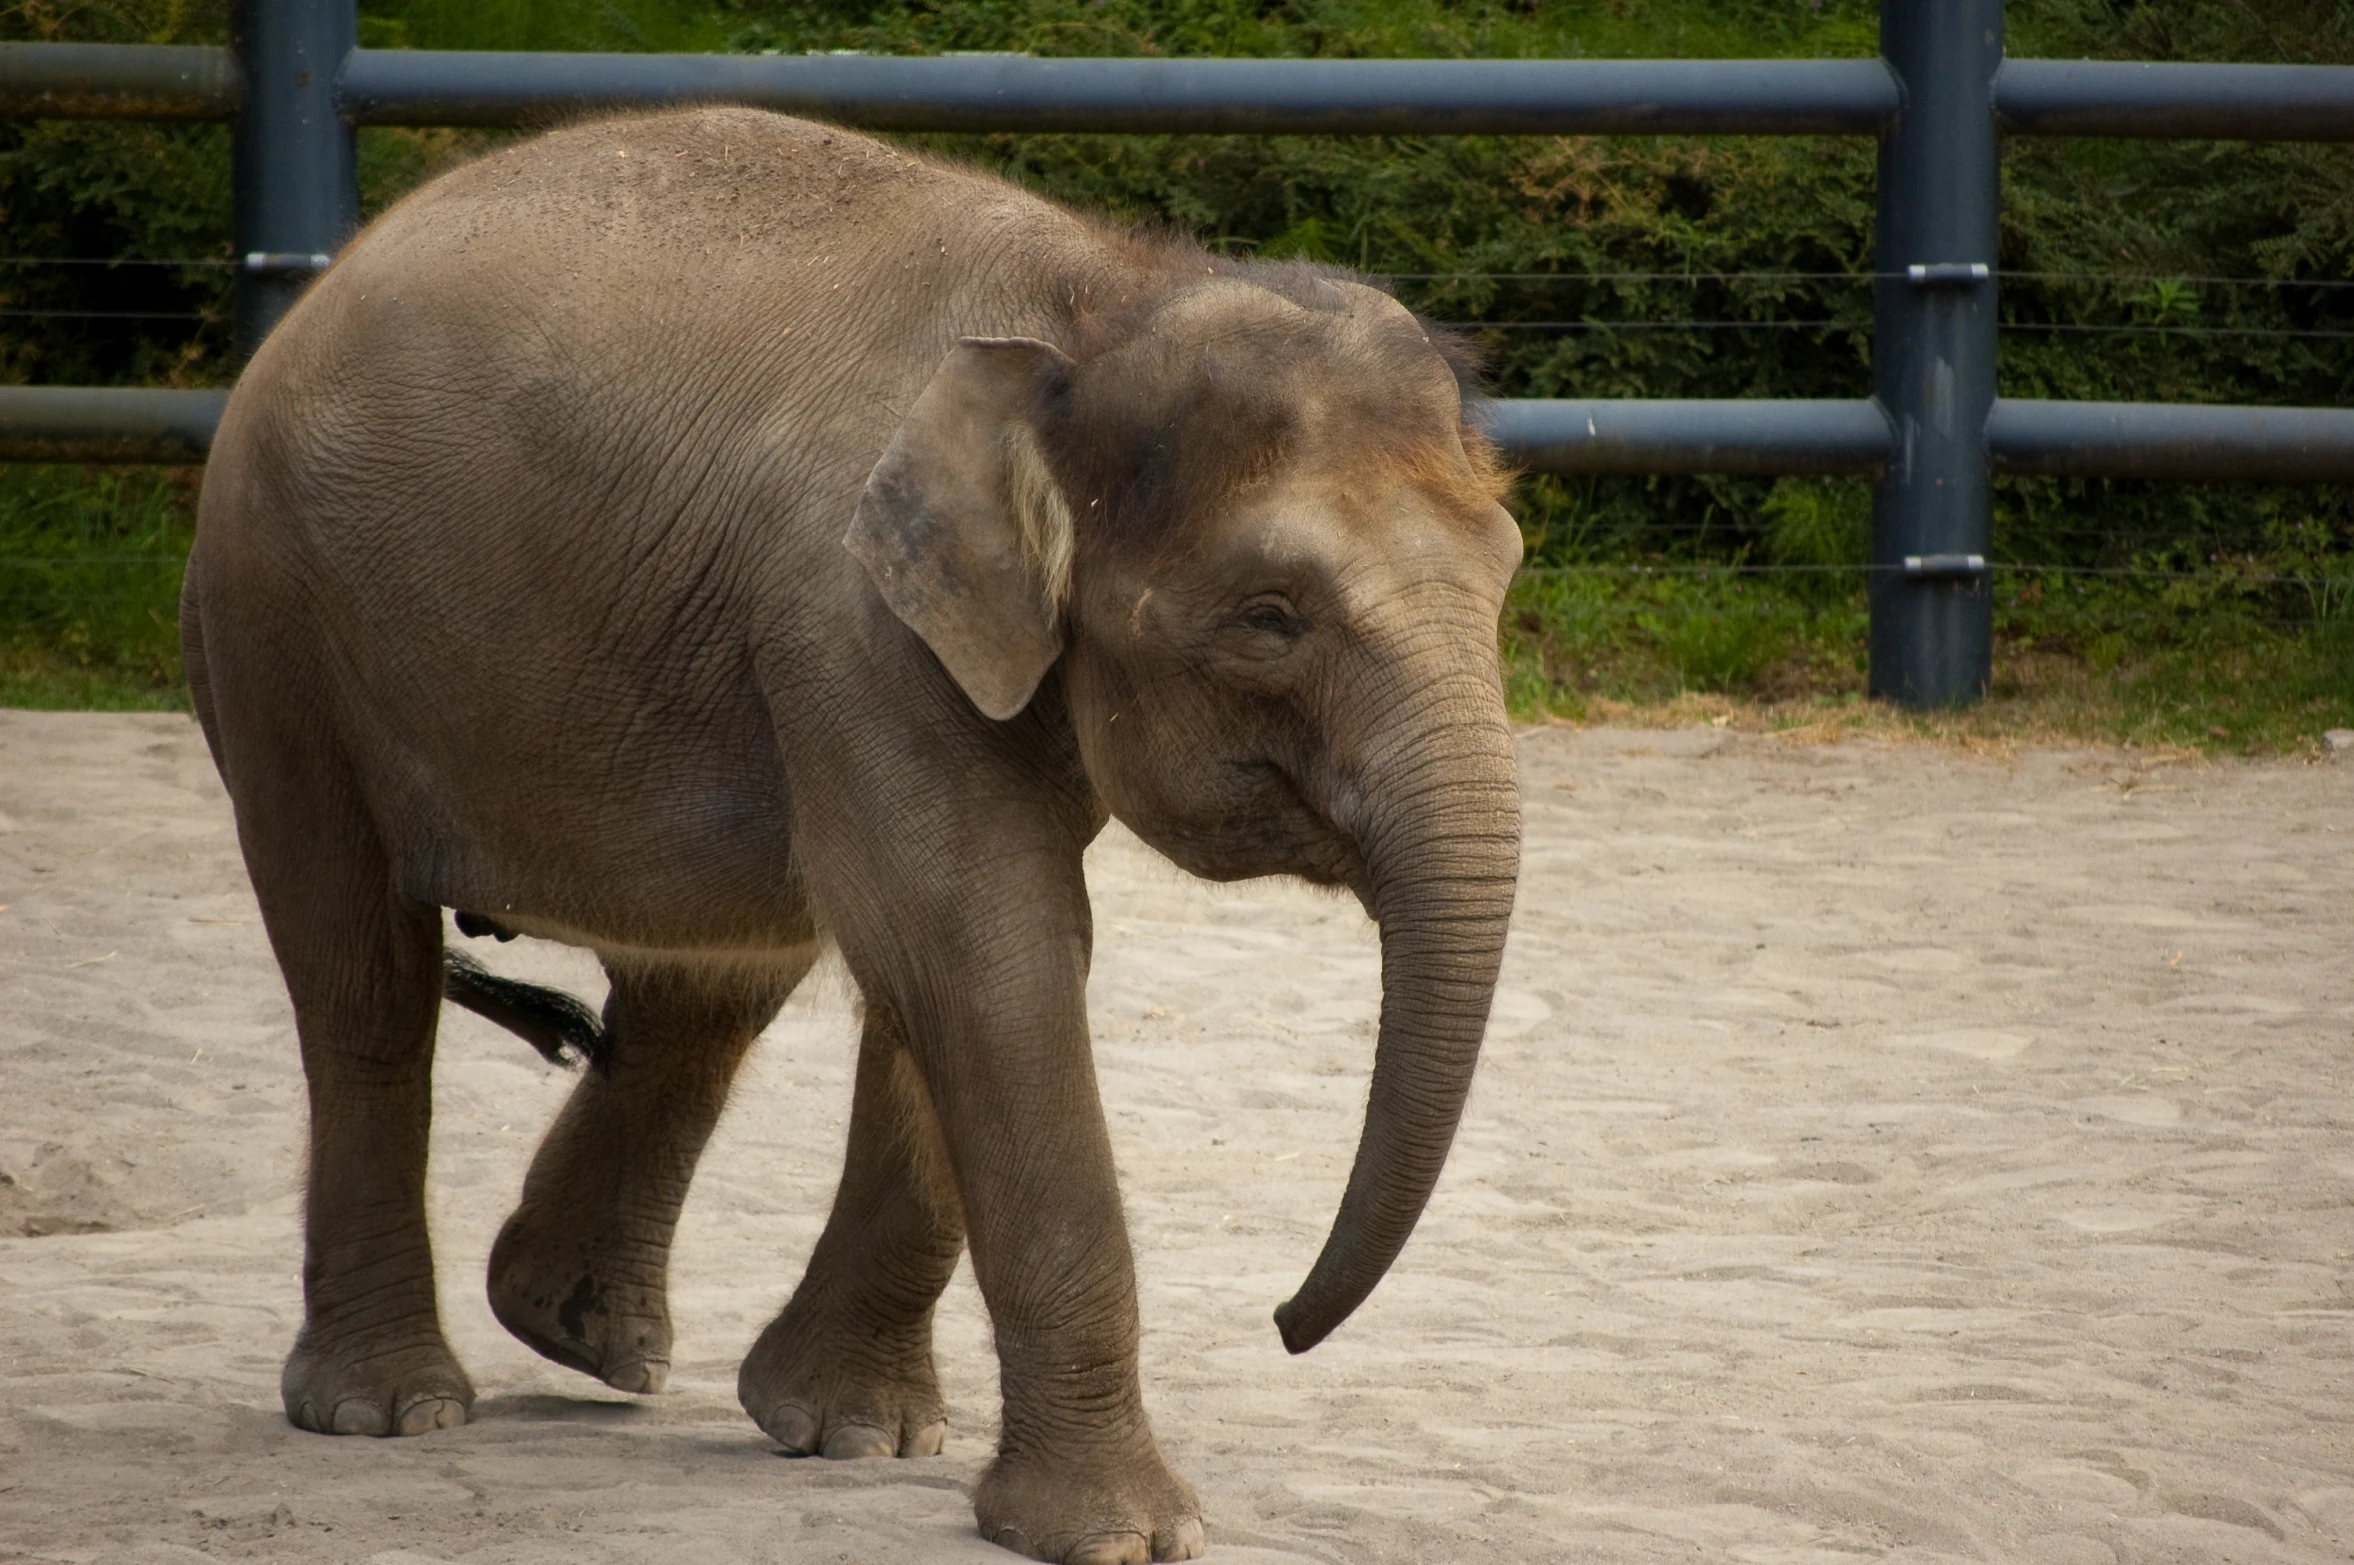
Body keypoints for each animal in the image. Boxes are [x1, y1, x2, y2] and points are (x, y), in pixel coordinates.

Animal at [174, 103, 1515, 1553]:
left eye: (1505, 567)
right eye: (1270, 615)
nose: (1282, 1321)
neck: (1096, 305)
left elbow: (965, 950)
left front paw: (856, 1435)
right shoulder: (846, 615)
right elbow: (979, 942)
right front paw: (1121, 1533)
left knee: (712, 972)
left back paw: (580, 1336)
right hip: (276, 626)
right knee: (362, 976)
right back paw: (390, 1408)